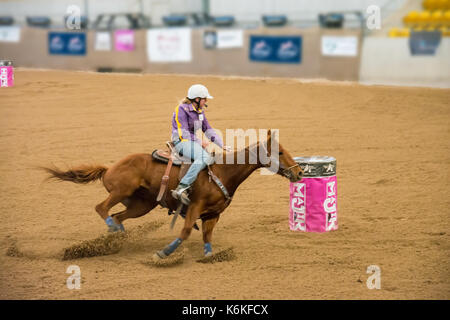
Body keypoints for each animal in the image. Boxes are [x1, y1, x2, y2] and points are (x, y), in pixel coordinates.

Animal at [42, 130, 302, 260]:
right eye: (280, 151)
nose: (299, 172)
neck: (222, 171)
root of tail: (109, 167)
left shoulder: (213, 215)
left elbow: (207, 236)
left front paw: (209, 254)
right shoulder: (195, 207)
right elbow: (185, 232)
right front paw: (164, 253)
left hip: (141, 205)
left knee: (117, 217)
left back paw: (115, 239)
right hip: (120, 191)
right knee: (102, 208)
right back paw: (113, 235)